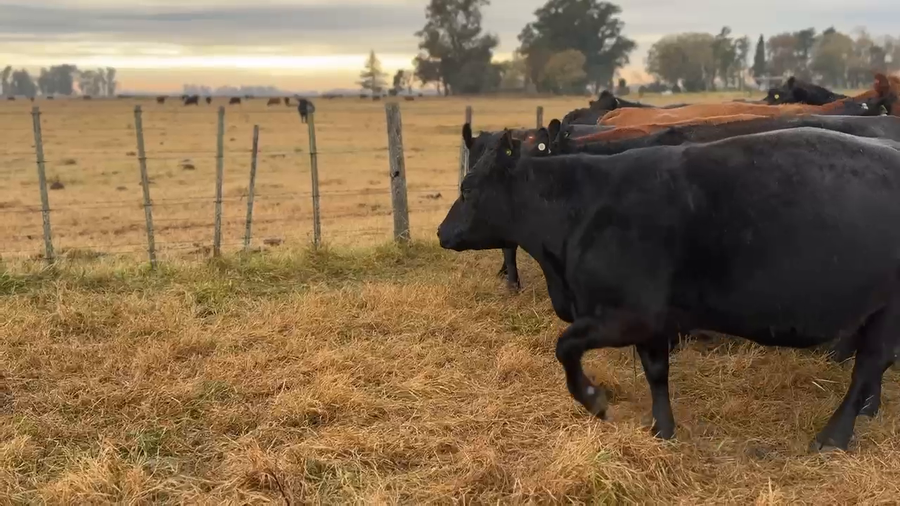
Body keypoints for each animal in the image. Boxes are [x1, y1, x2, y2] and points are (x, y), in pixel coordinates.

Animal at [437, 126, 900, 451]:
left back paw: (834, 436)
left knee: (868, 366)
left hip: (887, 311)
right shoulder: (654, 323)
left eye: (466, 188)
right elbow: (656, 372)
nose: (442, 231)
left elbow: (565, 346)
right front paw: (662, 429)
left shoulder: (627, 315)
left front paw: (593, 399)